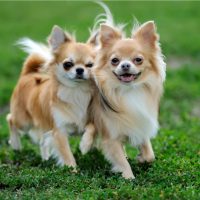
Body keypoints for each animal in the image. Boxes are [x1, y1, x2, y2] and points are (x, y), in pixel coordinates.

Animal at [7, 25, 97, 168]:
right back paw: (16, 145)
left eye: (90, 65)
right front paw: (72, 170)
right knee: (10, 119)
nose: (80, 70)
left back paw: (45, 158)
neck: (76, 91)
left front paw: (85, 145)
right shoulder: (59, 131)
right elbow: (67, 155)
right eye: (68, 64)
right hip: (24, 121)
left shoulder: (88, 121)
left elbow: (91, 128)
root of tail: (28, 73)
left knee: (43, 141)